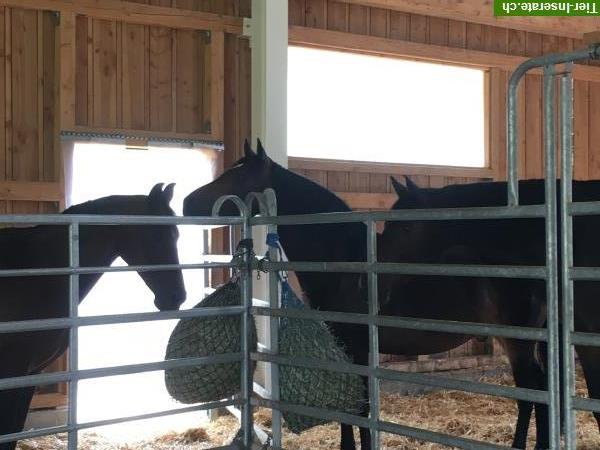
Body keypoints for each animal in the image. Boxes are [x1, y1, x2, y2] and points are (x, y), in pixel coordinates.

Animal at [185, 142, 552, 450]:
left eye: (237, 175)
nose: (188, 204)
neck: (343, 260)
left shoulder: (358, 346)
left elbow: (360, 408)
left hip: (518, 341)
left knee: (532, 393)